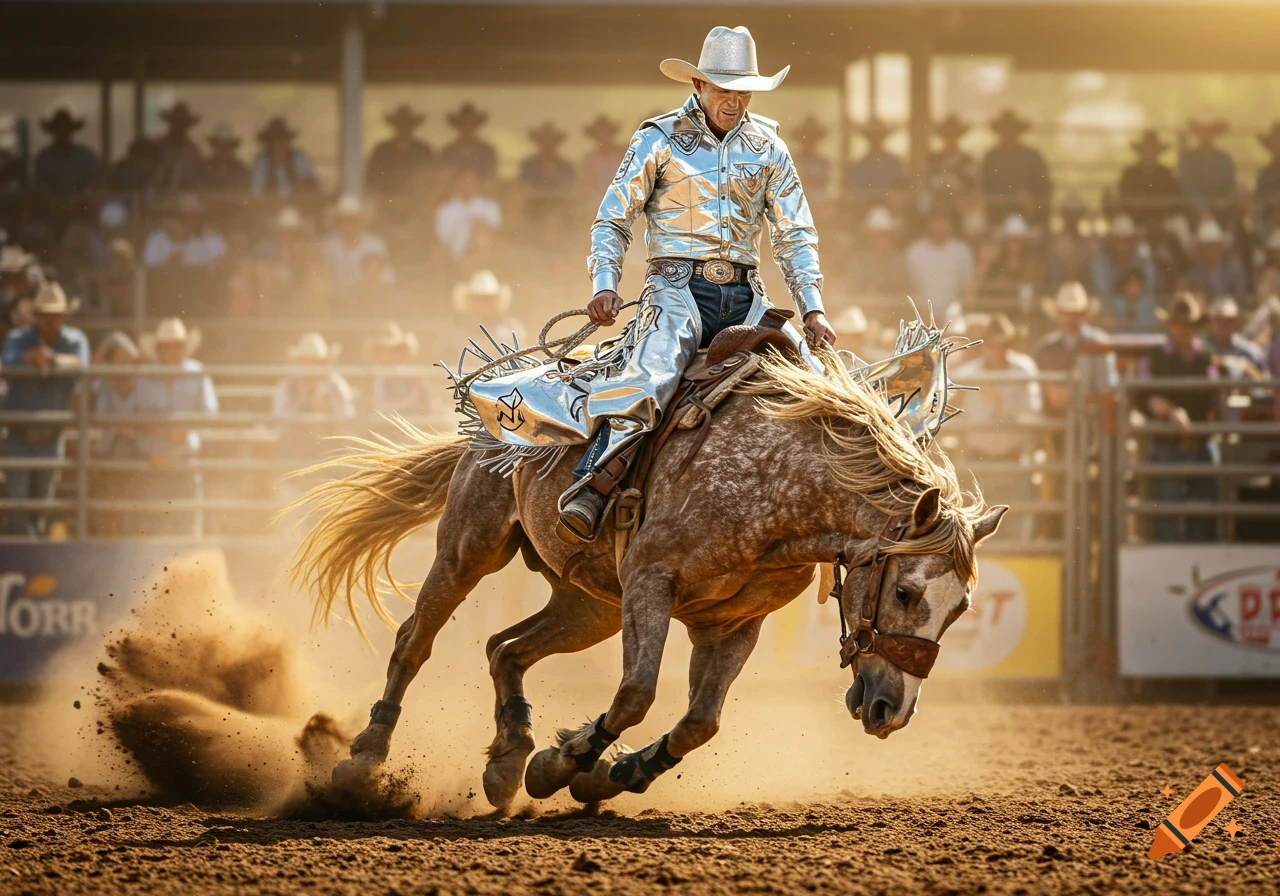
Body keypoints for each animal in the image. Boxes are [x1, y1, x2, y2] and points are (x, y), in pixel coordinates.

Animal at [288, 350, 1007, 810]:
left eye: (961, 609)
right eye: (906, 592)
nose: (893, 711)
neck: (776, 485)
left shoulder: (733, 625)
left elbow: (699, 723)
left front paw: (610, 772)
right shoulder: (650, 585)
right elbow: (636, 693)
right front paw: (564, 764)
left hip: (589, 605)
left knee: (504, 648)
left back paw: (507, 756)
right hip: (471, 546)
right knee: (415, 639)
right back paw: (364, 760)